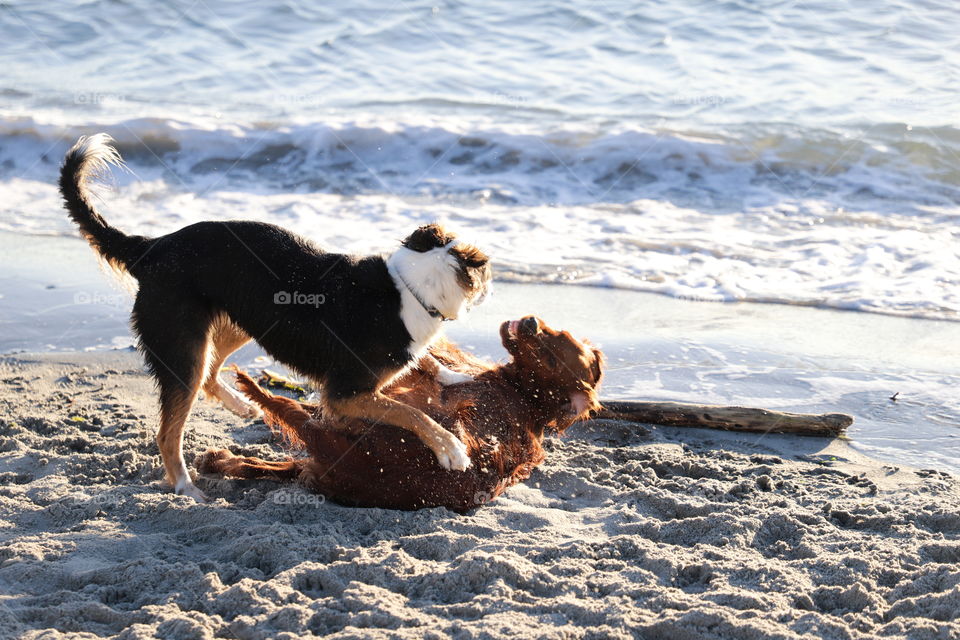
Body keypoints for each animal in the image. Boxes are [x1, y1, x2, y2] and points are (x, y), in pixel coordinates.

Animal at [60, 135, 492, 502]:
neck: (408, 288)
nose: (491, 290)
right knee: (169, 431)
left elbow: (427, 360)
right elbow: (411, 411)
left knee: (211, 372)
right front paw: (452, 449)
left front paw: (456, 375)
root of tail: (153, 247)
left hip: (239, 321)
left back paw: (240, 405)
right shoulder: (345, 395)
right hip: (184, 348)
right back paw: (186, 487)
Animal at [198, 318, 604, 512]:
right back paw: (219, 457)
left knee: (287, 412)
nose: (531, 321)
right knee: (267, 460)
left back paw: (248, 389)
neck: (520, 392)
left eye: (552, 358)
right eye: (558, 333)